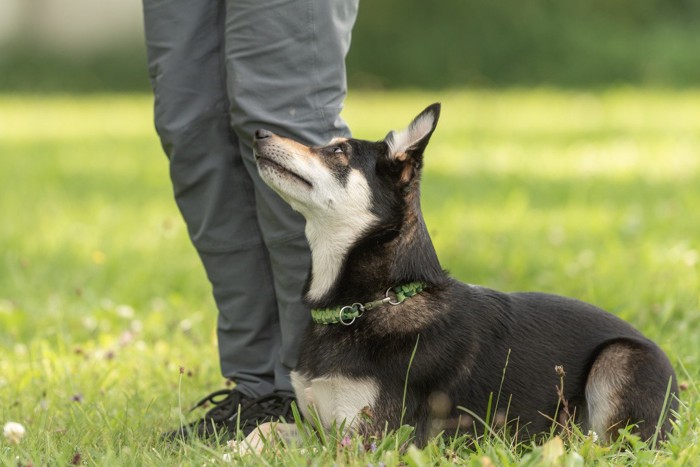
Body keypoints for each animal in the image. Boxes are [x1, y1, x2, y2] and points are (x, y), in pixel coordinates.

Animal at [249, 103, 676, 454]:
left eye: (339, 152)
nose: (259, 133)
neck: (371, 302)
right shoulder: (317, 425)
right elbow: (265, 430)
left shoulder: (371, 439)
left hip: (617, 361)